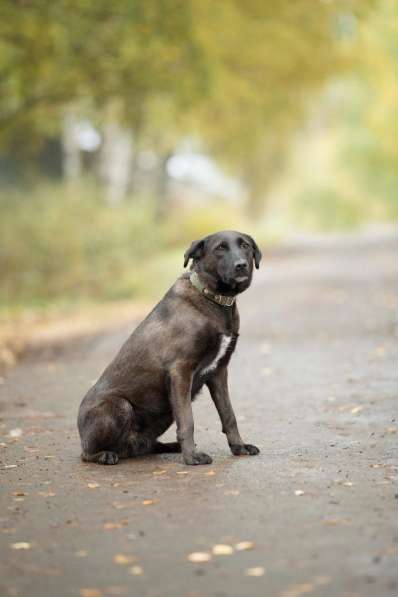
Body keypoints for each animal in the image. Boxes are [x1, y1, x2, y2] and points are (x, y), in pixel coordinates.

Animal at [78, 228, 262, 466]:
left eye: (245, 246)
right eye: (220, 248)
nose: (241, 265)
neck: (213, 298)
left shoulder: (219, 372)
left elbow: (228, 414)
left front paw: (239, 447)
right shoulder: (181, 371)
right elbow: (187, 420)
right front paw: (191, 457)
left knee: (147, 446)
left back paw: (170, 446)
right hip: (119, 406)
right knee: (86, 453)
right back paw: (105, 455)